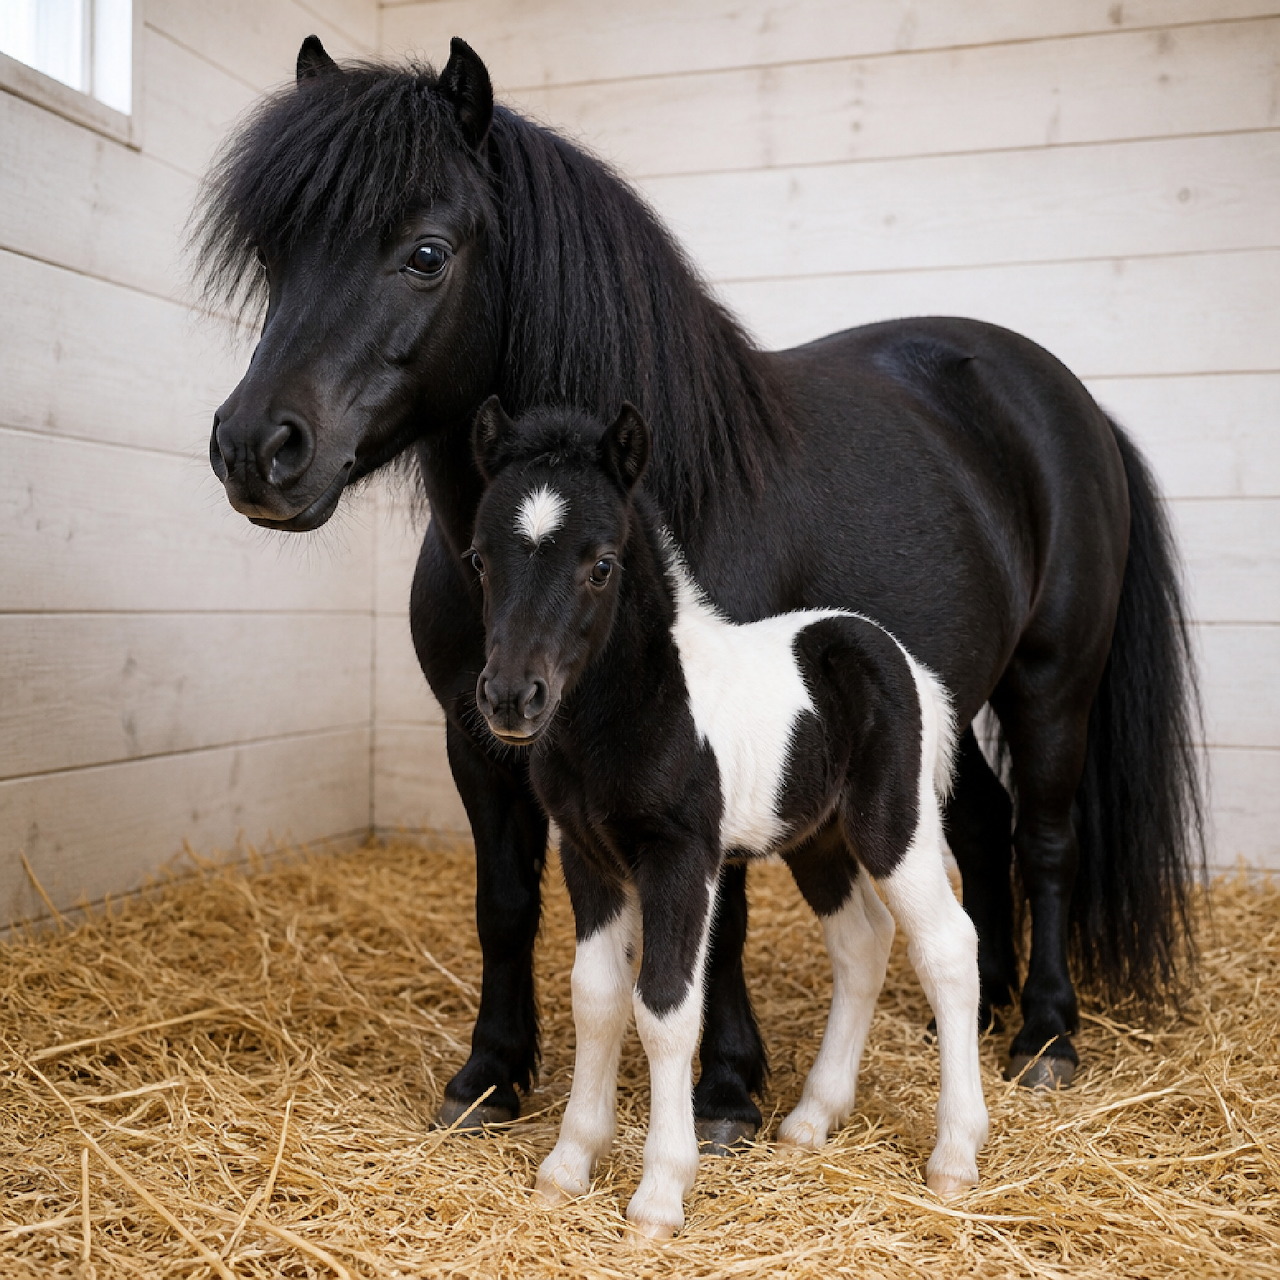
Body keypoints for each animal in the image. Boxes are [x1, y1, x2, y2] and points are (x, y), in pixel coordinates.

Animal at [194, 36, 1203, 1143]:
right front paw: (490, 1074)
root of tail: (1071, 403)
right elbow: (504, 901)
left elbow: (720, 921)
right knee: (978, 826)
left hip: (1050, 683)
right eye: (277, 256)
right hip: (926, 701)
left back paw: (1046, 1033)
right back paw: (983, 1010)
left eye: (425, 252)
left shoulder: (718, 745)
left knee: (1048, 837)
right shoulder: (479, 742)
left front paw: (725, 1089)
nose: (255, 449)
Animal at [467, 397, 988, 1237]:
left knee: (946, 946)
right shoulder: (588, 855)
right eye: (480, 559)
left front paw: (658, 1195)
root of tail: (903, 661)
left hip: (893, 827)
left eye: (601, 563)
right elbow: (597, 998)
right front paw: (568, 1165)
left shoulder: (681, 858)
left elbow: (666, 1007)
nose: (512, 698)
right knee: (862, 942)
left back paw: (954, 1156)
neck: (635, 711)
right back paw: (811, 1119)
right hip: (818, 840)